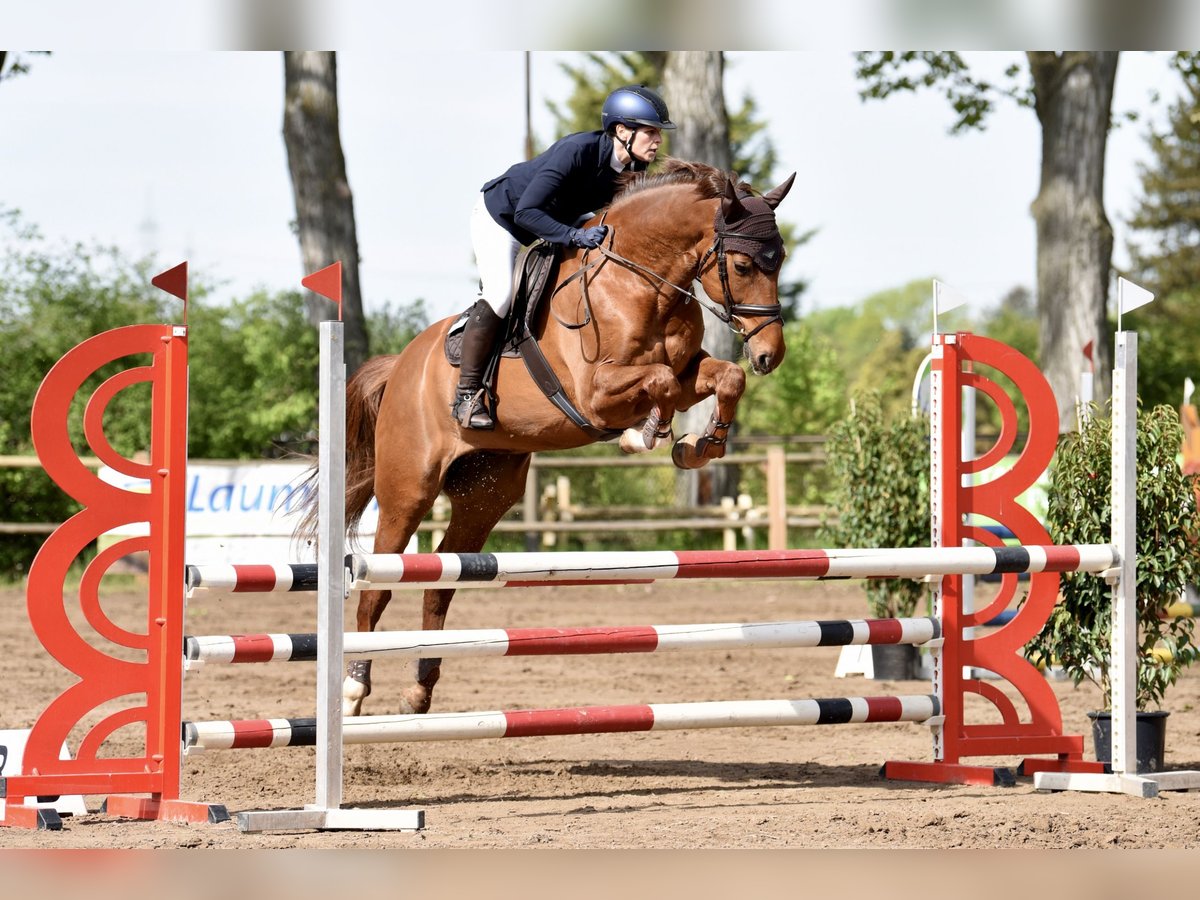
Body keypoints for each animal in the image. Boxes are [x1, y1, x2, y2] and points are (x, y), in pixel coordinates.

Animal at [300, 159, 796, 716]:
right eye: (743, 266)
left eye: (779, 260)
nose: (770, 355)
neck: (642, 283)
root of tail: (402, 364)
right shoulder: (595, 392)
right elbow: (661, 383)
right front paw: (643, 435)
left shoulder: (690, 371)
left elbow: (723, 378)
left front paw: (698, 447)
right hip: (409, 488)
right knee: (377, 588)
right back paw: (354, 690)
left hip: (485, 495)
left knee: (443, 583)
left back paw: (419, 690)